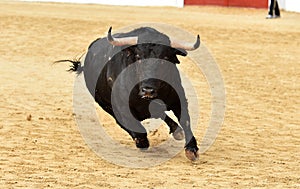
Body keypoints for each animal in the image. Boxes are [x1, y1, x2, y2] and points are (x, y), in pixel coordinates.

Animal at [66, 26, 202, 159]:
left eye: (165, 58)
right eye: (138, 57)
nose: (148, 90)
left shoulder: (178, 99)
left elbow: (185, 120)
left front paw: (191, 149)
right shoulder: (122, 108)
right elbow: (136, 126)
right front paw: (142, 141)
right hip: (105, 105)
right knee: (122, 122)